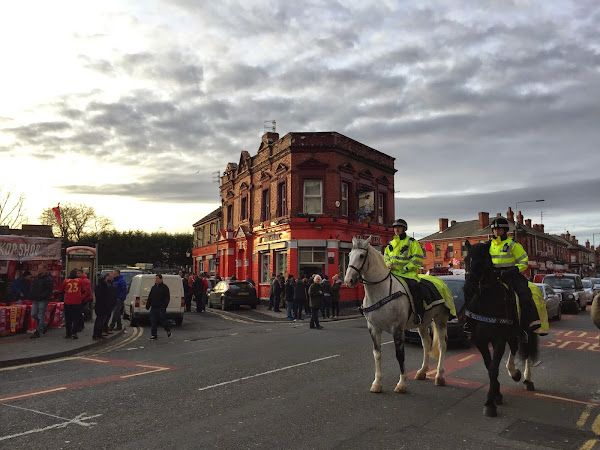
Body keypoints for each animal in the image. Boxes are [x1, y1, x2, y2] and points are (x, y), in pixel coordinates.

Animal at [342, 237, 450, 392]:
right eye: (350, 255)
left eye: (361, 256)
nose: (348, 280)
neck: (381, 291)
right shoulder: (373, 328)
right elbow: (377, 354)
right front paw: (377, 383)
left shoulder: (397, 328)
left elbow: (400, 355)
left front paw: (401, 383)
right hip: (423, 323)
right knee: (426, 343)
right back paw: (422, 371)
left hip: (440, 319)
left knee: (442, 345)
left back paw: (439, 376)